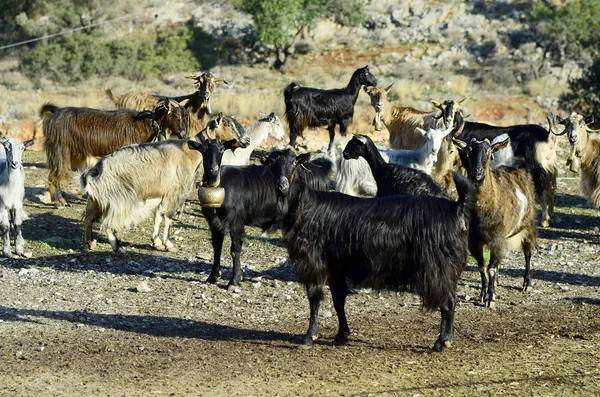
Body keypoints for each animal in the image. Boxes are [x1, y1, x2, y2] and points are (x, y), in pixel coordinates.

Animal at [270, 149, 474, 352]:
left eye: (294, 163)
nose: (282, 186)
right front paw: (341, 334)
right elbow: (338, 300)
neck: (306, 207)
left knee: (448, 302)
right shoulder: (336, 267)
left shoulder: (314, 263)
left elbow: (315, 300)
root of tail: (456, 207)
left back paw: (442, 342)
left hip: (439, 268)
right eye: (272, 164)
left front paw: (309, 337)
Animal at [454, 135, 540, 306]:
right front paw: (483, 293)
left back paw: (527, 284)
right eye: (468, 151)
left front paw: (490, 297)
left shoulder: (496, 238)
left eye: (488, 151)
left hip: (528, 224)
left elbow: (491, 268)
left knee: (528, 252)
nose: (477, 172)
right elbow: (482, 266)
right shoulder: (474, 240)